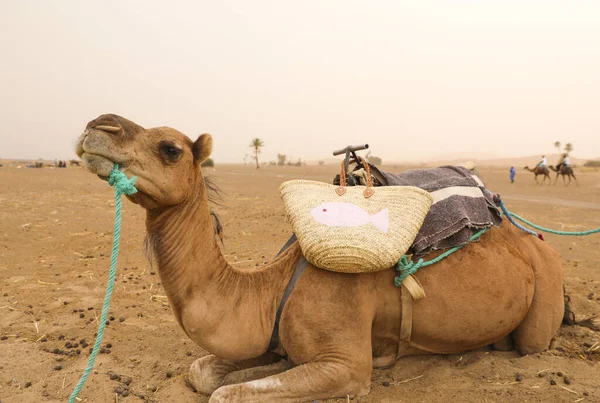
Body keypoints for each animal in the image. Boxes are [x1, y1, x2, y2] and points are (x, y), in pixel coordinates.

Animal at [76, 113, 568, 403]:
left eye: (171, 149)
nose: (98, 125)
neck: (270, 288)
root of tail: (534, 238)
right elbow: (203, 373)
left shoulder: (346, 366)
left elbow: (225, 394)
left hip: (545, 287)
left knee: (531, 342)